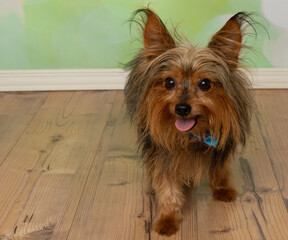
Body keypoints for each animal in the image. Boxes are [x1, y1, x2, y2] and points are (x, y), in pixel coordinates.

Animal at [124, 7, 254, 236]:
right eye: (169, 82)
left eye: (205, 84)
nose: (182, 108)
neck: (191, 135)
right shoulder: (162, 156)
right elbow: (167, 188)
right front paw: (167, 219)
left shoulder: (220, 147)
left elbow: (218, 169)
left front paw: (221, 188)